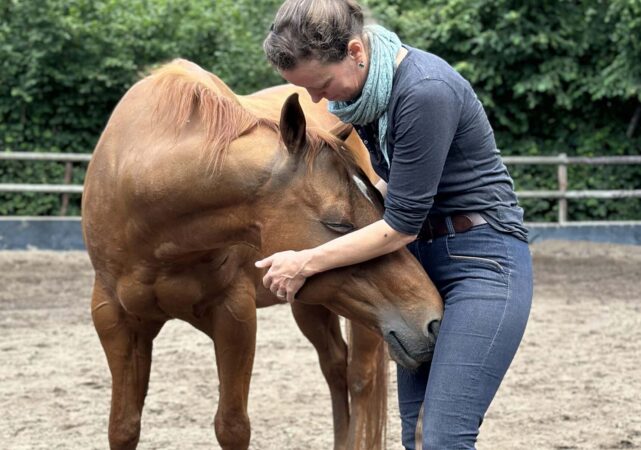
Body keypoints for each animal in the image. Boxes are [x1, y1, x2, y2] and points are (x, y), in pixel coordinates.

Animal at [81, 59, 443, 450]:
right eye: (338, 222)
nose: (433, 318)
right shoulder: (115, 321)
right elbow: (123, 427)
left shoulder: (234, 316)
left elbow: (232, 427)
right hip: (313, 303)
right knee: (335, 366)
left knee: (361, 378)